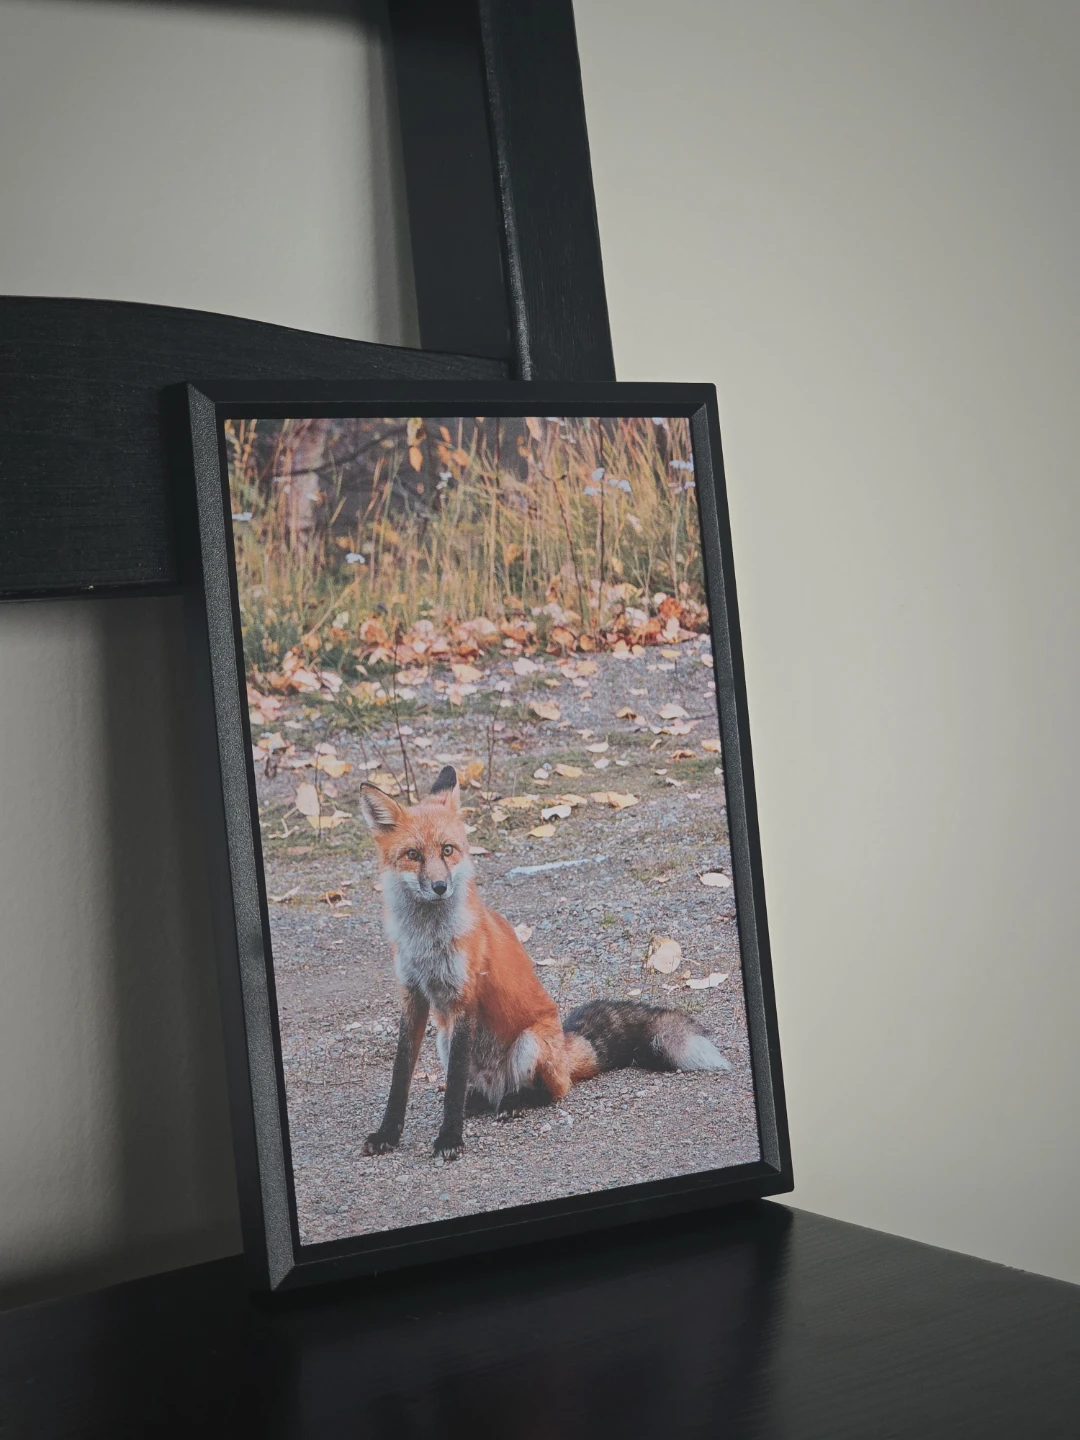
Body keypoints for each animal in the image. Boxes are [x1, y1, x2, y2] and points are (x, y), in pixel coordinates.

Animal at [358, 766, 731, 1160]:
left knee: (550, 1093)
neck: (427, 942)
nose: (441, 886)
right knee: (478, 1094)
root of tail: (566, 1049)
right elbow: (402, 1076)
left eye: (447, 850)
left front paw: (449, 1139)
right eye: (413, 854)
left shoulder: (463, 998)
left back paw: (515, 1102)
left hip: (529, 1044)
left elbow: (454, 1085)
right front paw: (388, 1134)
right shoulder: (413, 995)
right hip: (444, 1039)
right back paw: (481, 1102)